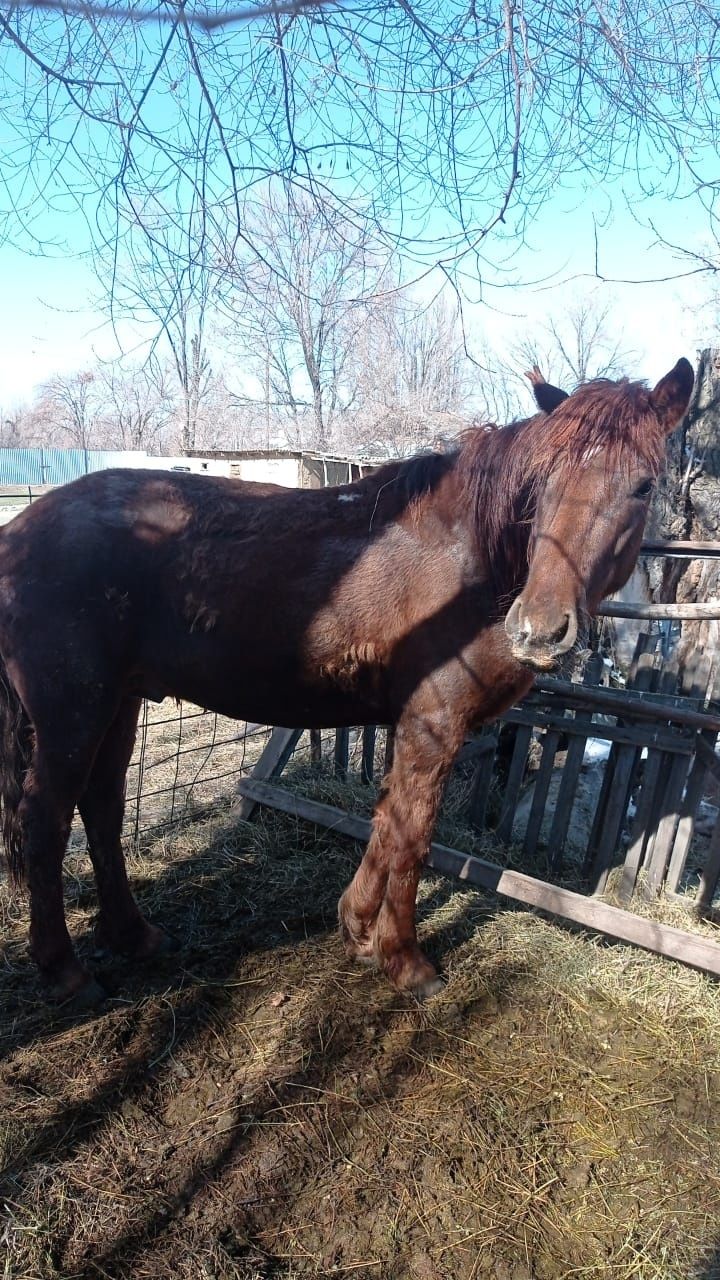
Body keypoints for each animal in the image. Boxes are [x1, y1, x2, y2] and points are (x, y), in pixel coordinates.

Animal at [0, 358, 691, 998]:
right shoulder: (433, 723)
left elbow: (387, 823)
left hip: (118, 703)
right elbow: (412, 837)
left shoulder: (414, 726)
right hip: (72, 713)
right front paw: (406, 962)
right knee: (45, 818)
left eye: (642, 486)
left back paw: (134, 936)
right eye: (542, 483)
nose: (539, 630)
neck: (471, 562)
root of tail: (18, 534)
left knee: (102, 806)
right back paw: (65, 970)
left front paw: (358, 929)